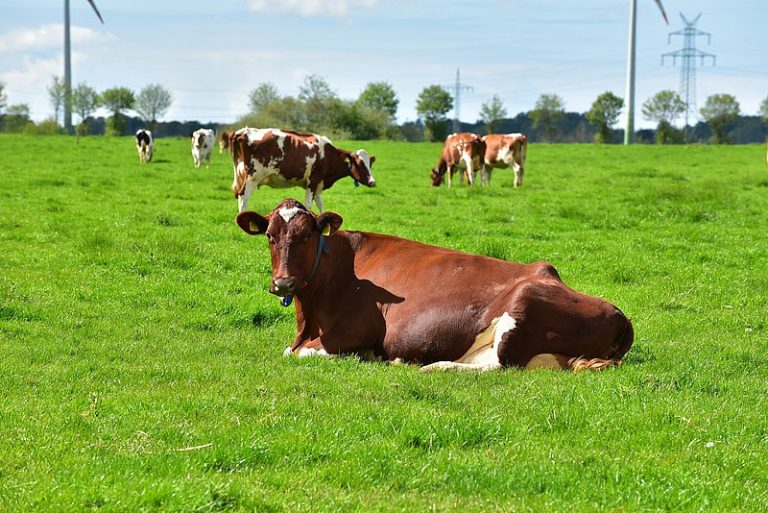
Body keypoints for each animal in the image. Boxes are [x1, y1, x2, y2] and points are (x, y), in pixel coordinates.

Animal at [231, 129, 378, 215]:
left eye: (370, 164)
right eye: (360, 164)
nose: (372, 182)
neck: (328, 156)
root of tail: (243, 131)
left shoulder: (318, 184)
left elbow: (320, 204)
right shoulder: (312, 182)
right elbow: (308, 205)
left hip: (241, 176)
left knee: (239, 196)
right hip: (252, 177)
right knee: (244, 197)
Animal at [237, 198, 632, 370]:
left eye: (307, 235)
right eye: (270, 235)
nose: (283, 282)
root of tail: (619, 314)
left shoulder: (357, 331)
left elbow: (301, 353)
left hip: (521, 306)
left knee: (498, 365)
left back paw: (431, 366)